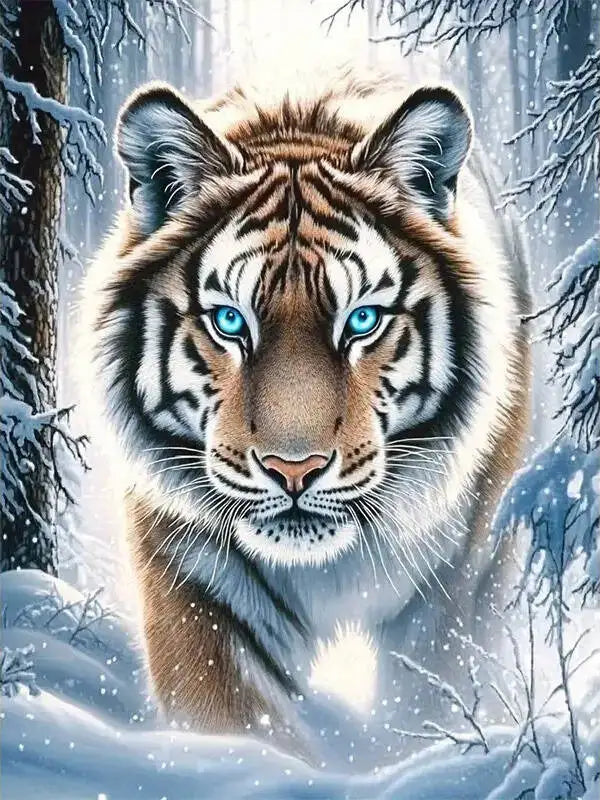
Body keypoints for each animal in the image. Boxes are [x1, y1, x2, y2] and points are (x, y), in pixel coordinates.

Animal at [83, 70, 530, 761]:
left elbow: (431, 700)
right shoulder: (195, 589)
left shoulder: (461, 584)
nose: (294, 471)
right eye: (230, 321)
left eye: (362, 320)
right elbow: (235, 727)